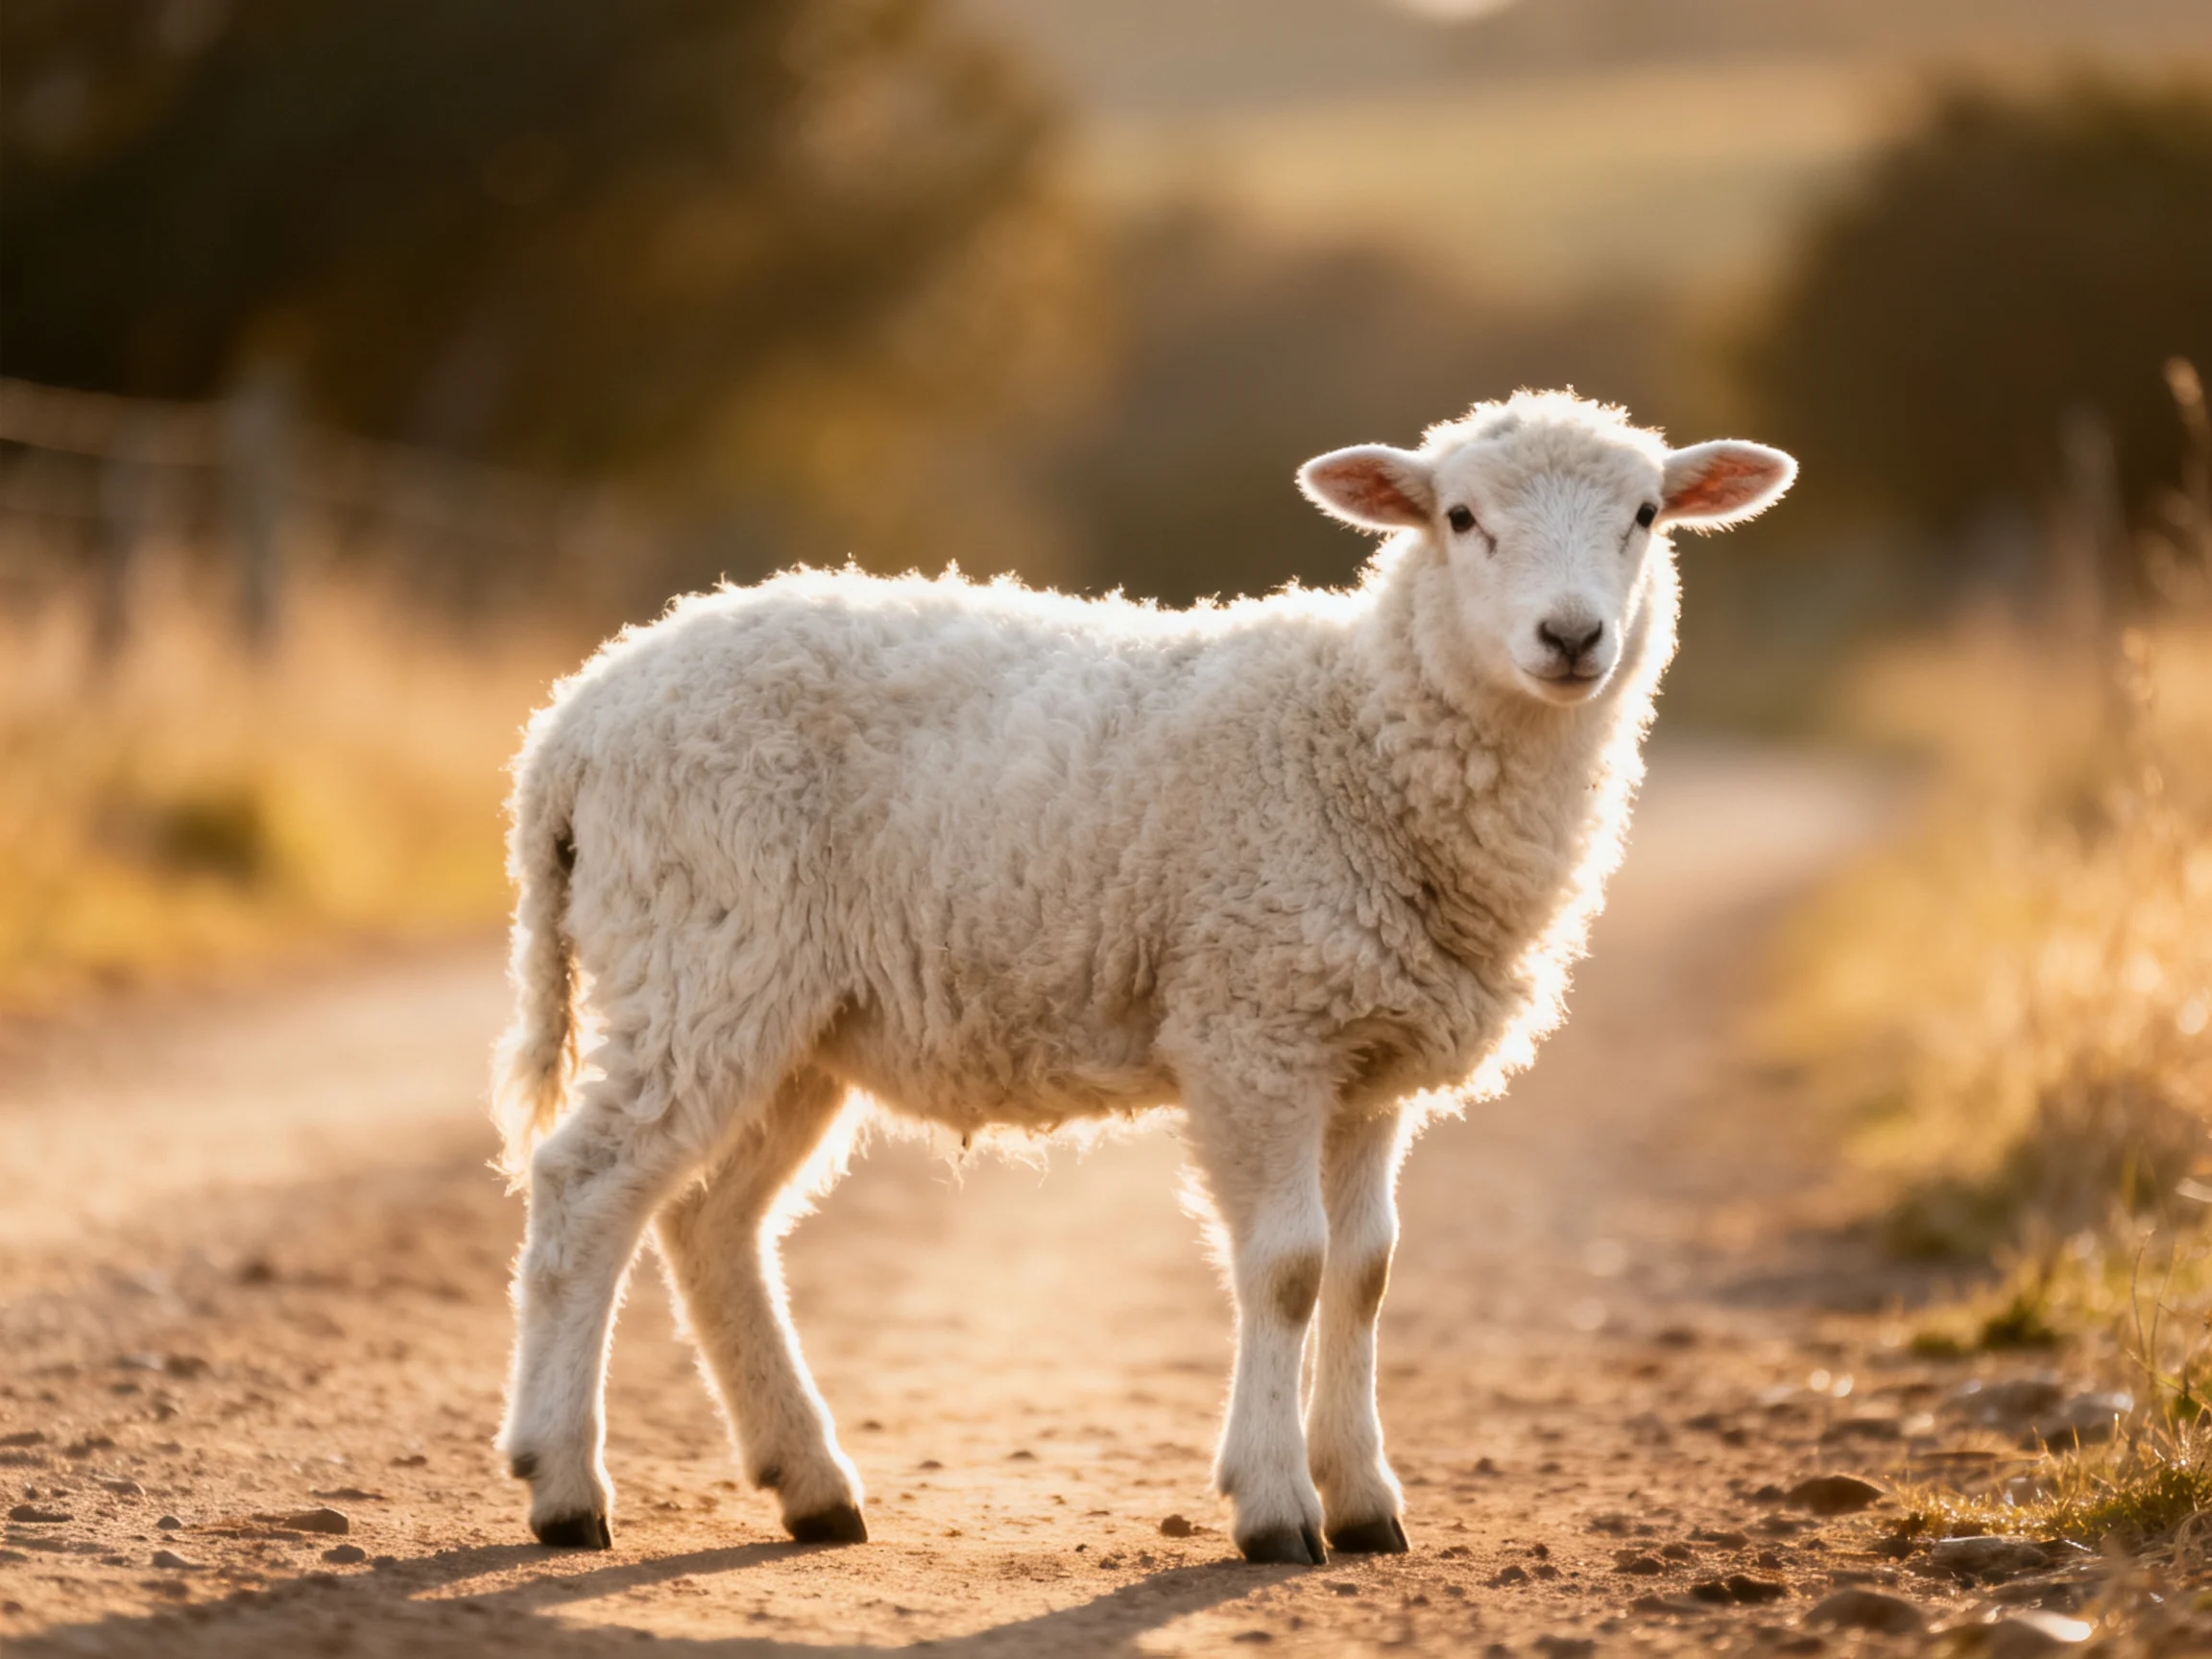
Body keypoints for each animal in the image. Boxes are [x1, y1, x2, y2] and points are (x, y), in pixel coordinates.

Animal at [490, 389, 1796, 1564]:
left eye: (1644, 514)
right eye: (1461, 517)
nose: (1572, 639)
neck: (1361, 731)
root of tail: (576, 718)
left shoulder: (1367, 1059)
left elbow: (1366, 1273)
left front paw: (1366, 1500)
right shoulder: (1255, 1028)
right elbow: (1288, 1268)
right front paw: (1277, 1509)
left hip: (797, 1015)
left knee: (709, 1224)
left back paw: (810, 1485)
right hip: (702, 955)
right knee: (585, 1190)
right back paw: (565, 1487)